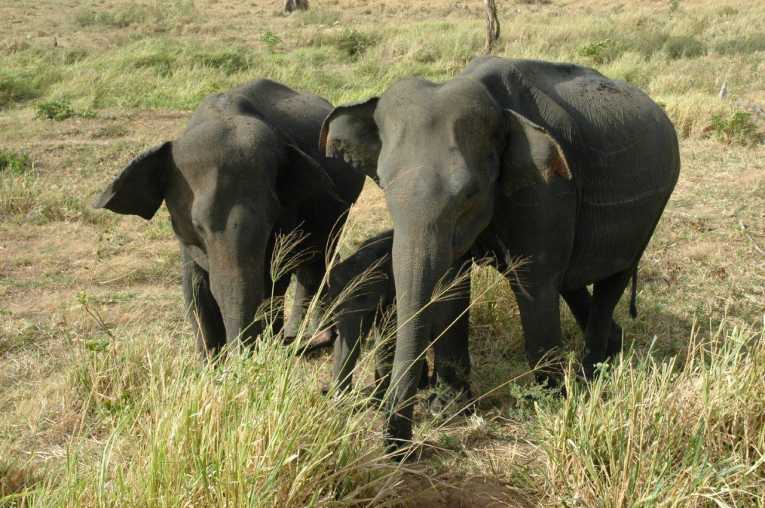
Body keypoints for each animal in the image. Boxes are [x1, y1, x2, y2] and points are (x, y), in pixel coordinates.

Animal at [93, 79, 365, 356]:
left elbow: (274, 279)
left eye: (271, 218)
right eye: (197, 226)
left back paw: (310, 336)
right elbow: (194, 290)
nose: (243, 354)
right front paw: (210, 362)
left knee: (316, 262)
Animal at [320, 56, 681, 451]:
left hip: (650, 209)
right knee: (572, 282)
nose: (398, 448)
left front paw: (550, 402)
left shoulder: (548, 188)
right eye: (383, 185)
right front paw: (449, 409)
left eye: (469, 194)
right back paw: (611, 349)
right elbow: (452, 284)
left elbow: (534, 283)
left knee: (610, 279)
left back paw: (591, 375)